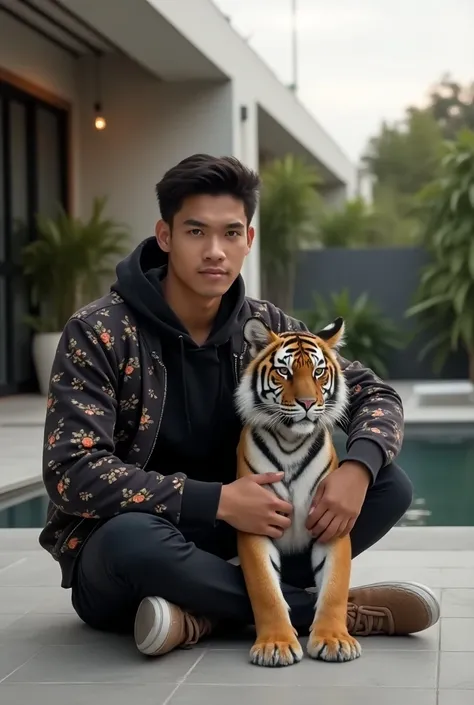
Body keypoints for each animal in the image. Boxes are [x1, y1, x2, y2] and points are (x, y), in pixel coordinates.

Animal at [234, 316, 362, 668]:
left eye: (318, 372)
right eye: (284, 372)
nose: (307, 403)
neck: (291, 441)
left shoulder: (332, 522)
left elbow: (335, 587)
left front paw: (334, 640)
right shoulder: (255, 521)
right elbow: (265, 590)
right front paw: (275, 645)